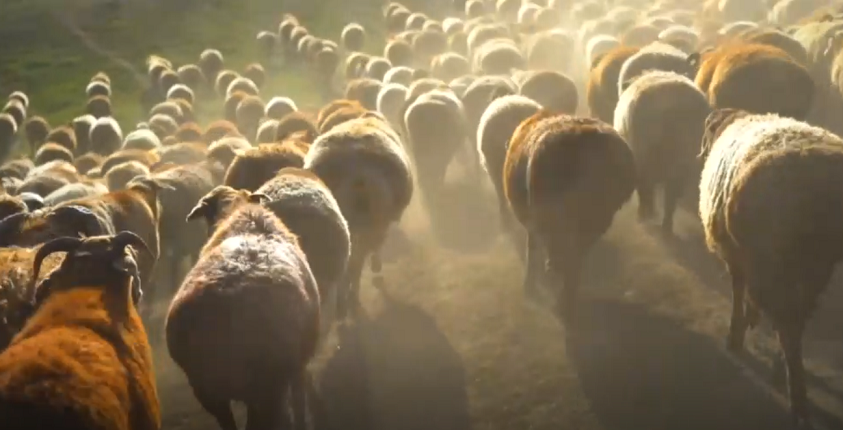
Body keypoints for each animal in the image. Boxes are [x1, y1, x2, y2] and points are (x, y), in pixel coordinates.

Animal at [304, 116, 414, 318]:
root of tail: (357, 172)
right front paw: (376, 267)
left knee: (347, 262)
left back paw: (343, 303)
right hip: (373, 219)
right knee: (357, 260)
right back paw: (350, 298)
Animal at [504, 111, 636, 322]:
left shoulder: (535, 222)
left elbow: (532, 251)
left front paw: (530, 288)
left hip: (555, 217)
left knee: (562, 260)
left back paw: (560, 301)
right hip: (597, 218)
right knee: (574, 261)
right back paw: (566, 303)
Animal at [700, 110, 843, 426]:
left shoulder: (737, 256)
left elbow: (737, 292)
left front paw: (736, 333)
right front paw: (747, 323)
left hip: (775, 262)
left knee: (786, 324)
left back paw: (796, 396)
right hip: (813, 267)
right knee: (795, 322)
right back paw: (786, 374)